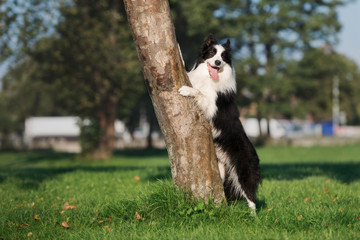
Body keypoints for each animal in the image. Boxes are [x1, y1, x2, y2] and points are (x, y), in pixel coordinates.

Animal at [179, 33, 262, 214]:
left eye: (223, 57)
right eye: (212, 52)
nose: (217, 62)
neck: (208, 78)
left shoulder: (211, 106)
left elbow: (199, 93)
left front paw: (187, 90)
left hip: (243, 171)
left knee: (251, 197)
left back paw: (253, 217)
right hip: (222, 169)